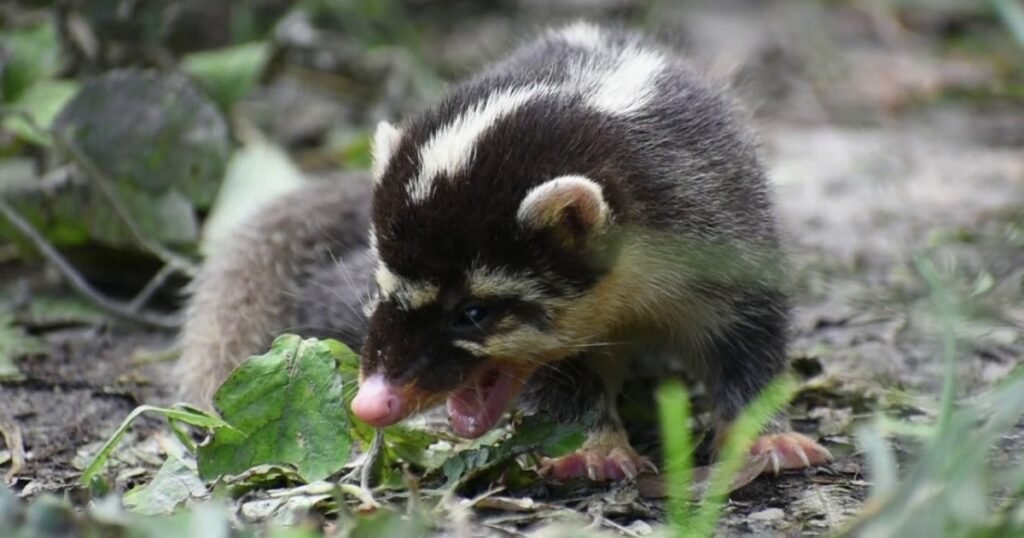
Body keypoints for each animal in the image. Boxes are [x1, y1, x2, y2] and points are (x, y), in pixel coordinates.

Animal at [348, 22, 831, 480]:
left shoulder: (724, 229)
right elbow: (561, 378)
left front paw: (762, 435)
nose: (368, 404)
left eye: (472, 313)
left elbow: (750, 343)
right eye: (381, 288)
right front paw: (593, 446)